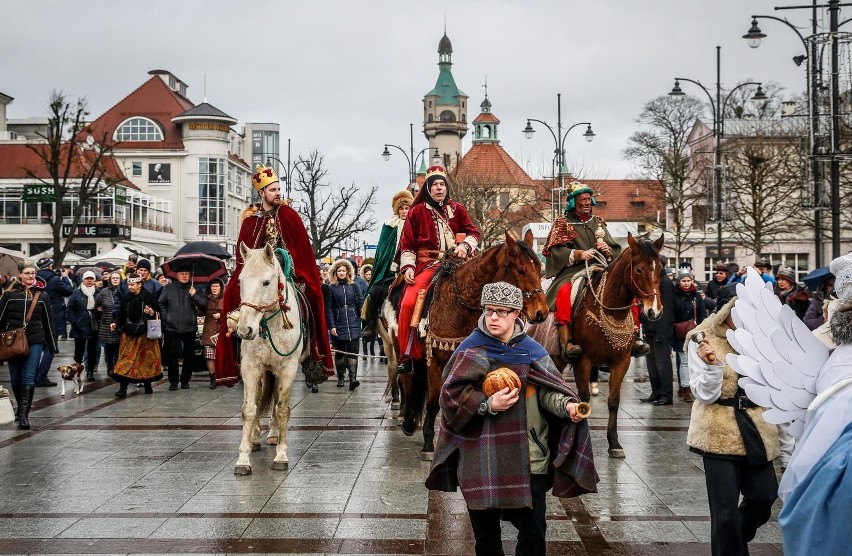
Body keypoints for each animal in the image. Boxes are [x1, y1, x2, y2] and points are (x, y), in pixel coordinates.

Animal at [235, 241, 308, 476]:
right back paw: (255, 436)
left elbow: (283, 409)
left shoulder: (288, 368)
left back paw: (274, 435)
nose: (245, 330)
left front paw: (281, 456)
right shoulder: (250, 367)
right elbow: (249, 409)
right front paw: (243, 459)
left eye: (266, 282)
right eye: (240, 281)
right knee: (260, 398)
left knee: (276, 400)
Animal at [392, 232, 548, 458]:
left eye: (540, 269)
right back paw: (408, 422)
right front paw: (429, 443)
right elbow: (433, 402)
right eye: (521, 270)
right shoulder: (435, 363)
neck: (458, 306)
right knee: (408, 380)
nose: (541, 312)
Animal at [528, 232, 664, 458]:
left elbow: (614, 401)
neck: (611, 310)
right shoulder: (583, 361)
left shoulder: (621, 362)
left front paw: (614, 443)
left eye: (661, 268)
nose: (654, 310)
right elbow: (582, 398)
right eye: (638, 269)